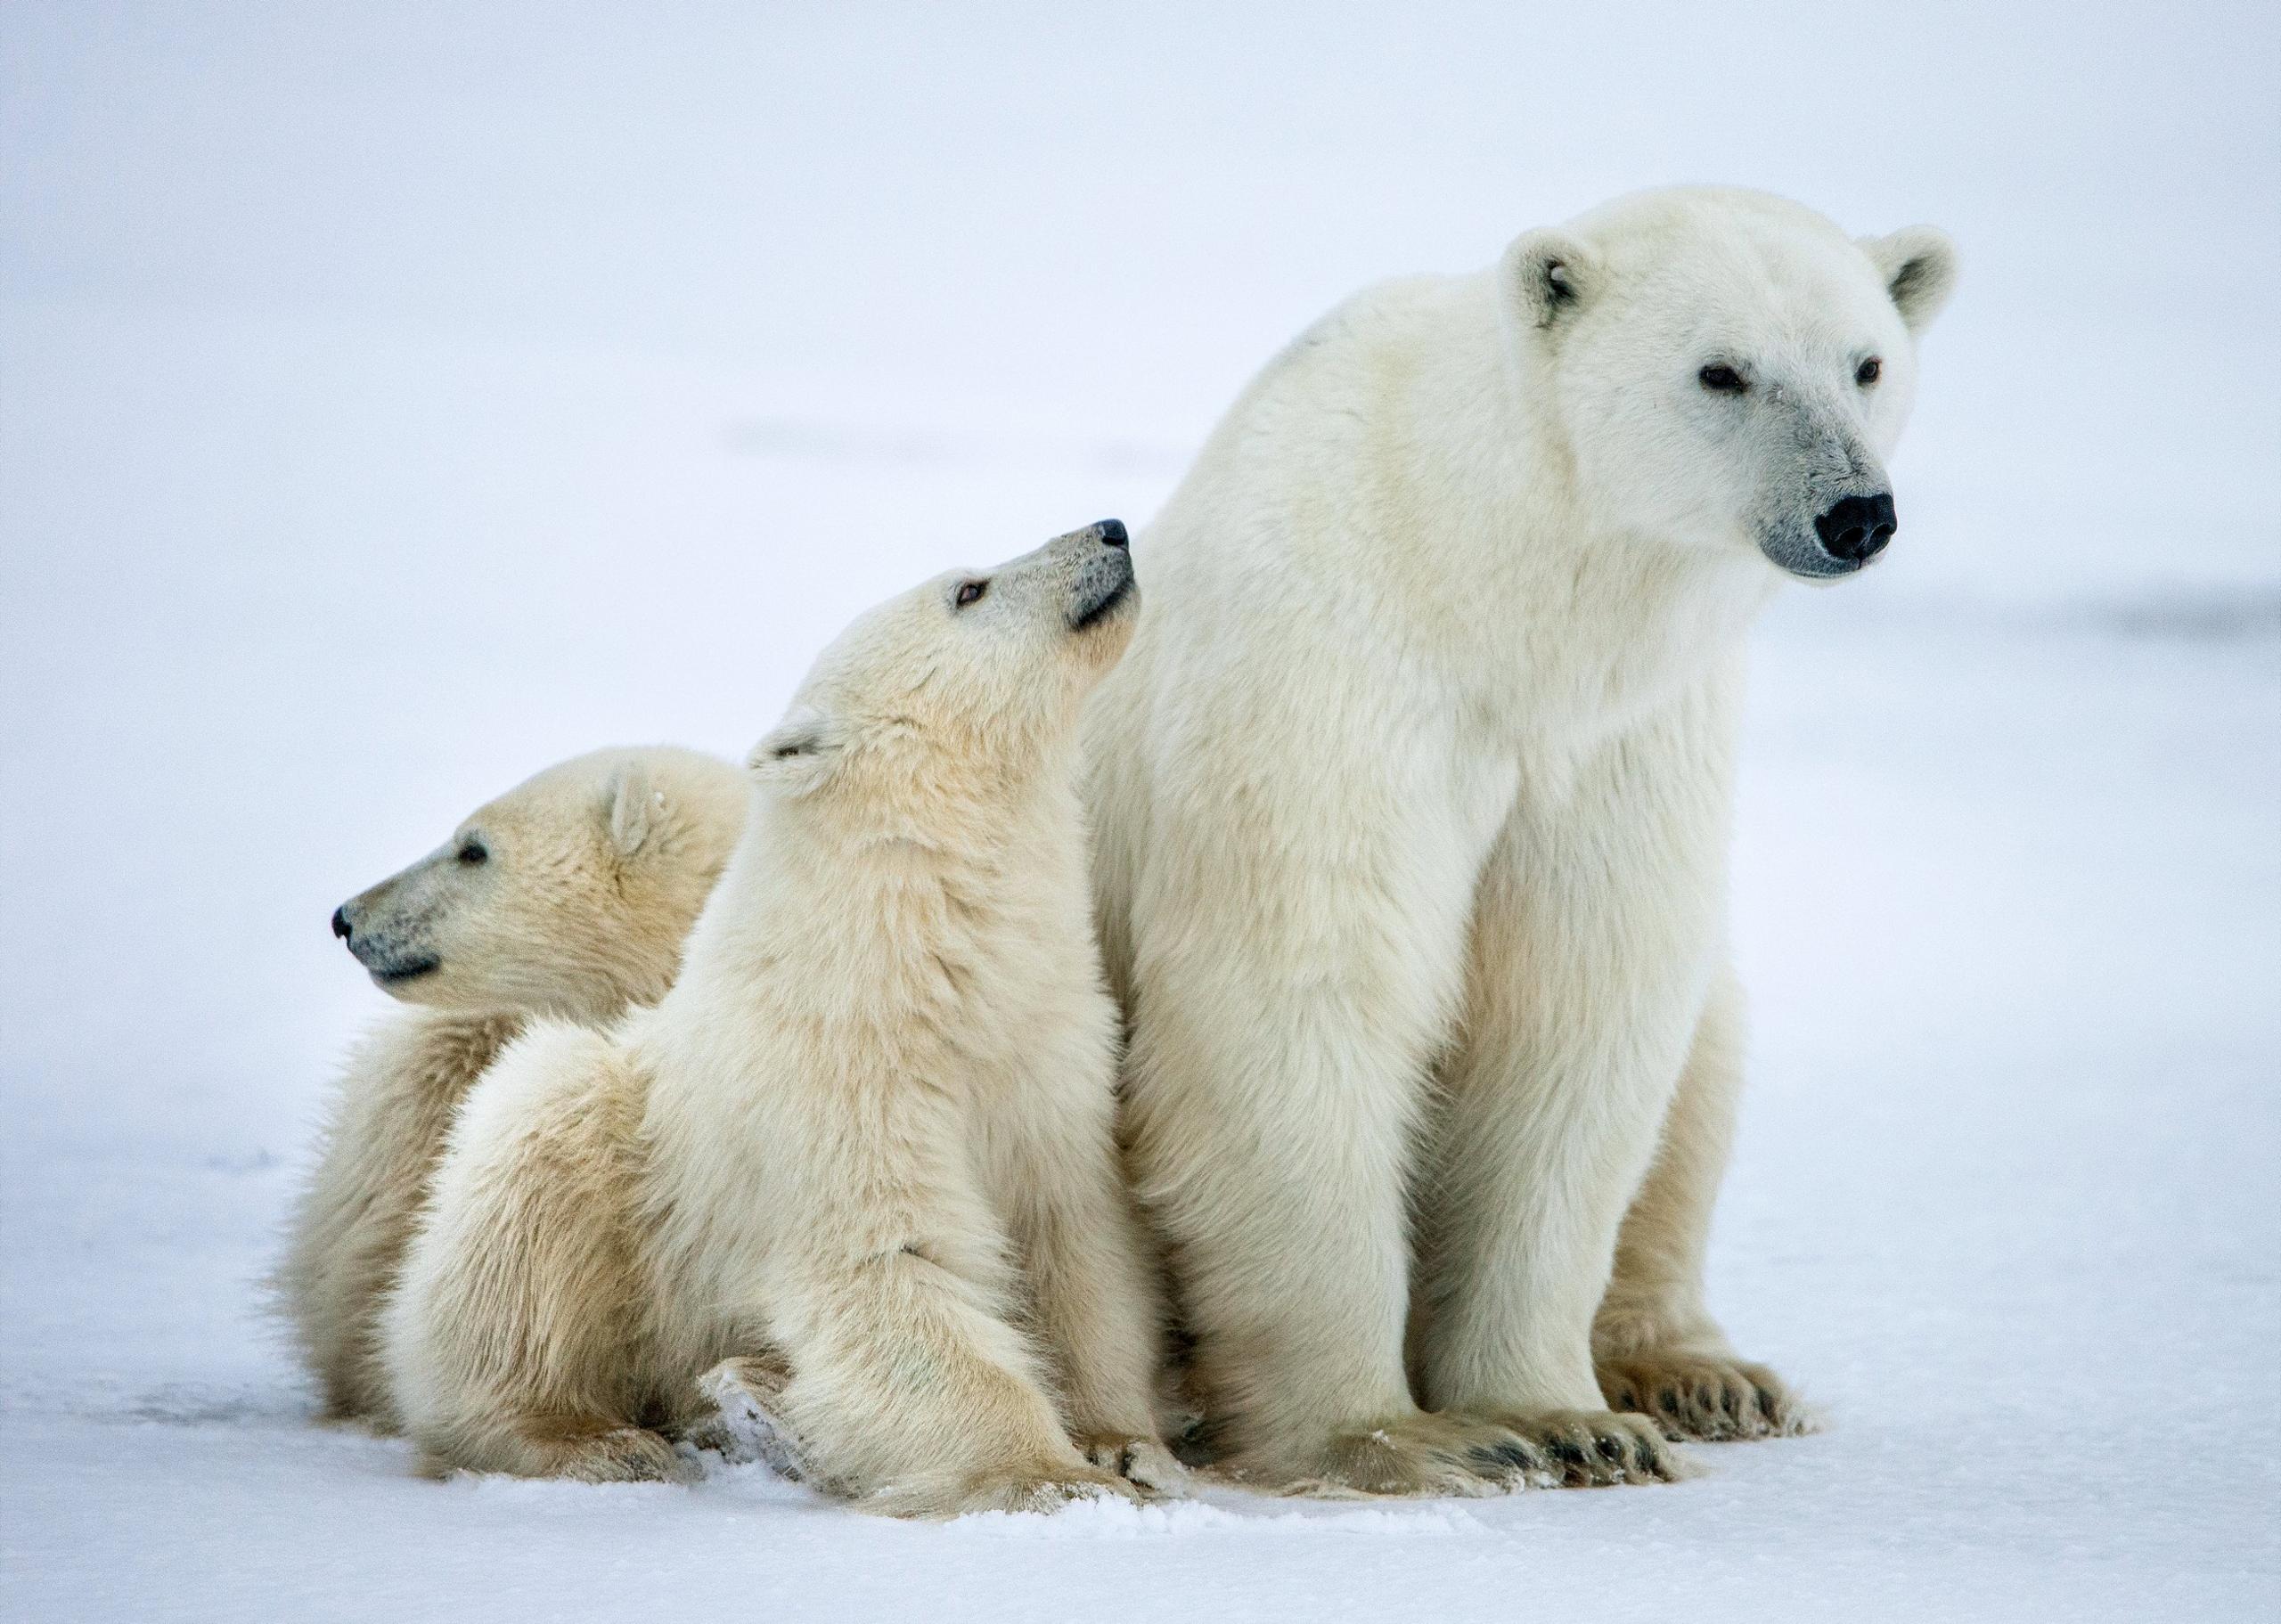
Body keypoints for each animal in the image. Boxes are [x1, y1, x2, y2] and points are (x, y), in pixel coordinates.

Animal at [1090, 184, 1961, 1487]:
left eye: (1866, 363)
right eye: (1721, 370)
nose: (1855, 512)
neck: (1485, 587)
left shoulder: (1619, 739)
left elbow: (1576, 1012)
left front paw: (1570, 1419)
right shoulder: (1332, 679)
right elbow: (1300, 997)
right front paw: (1397, 1434)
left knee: (1705, 1053)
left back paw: (1701, 1372)